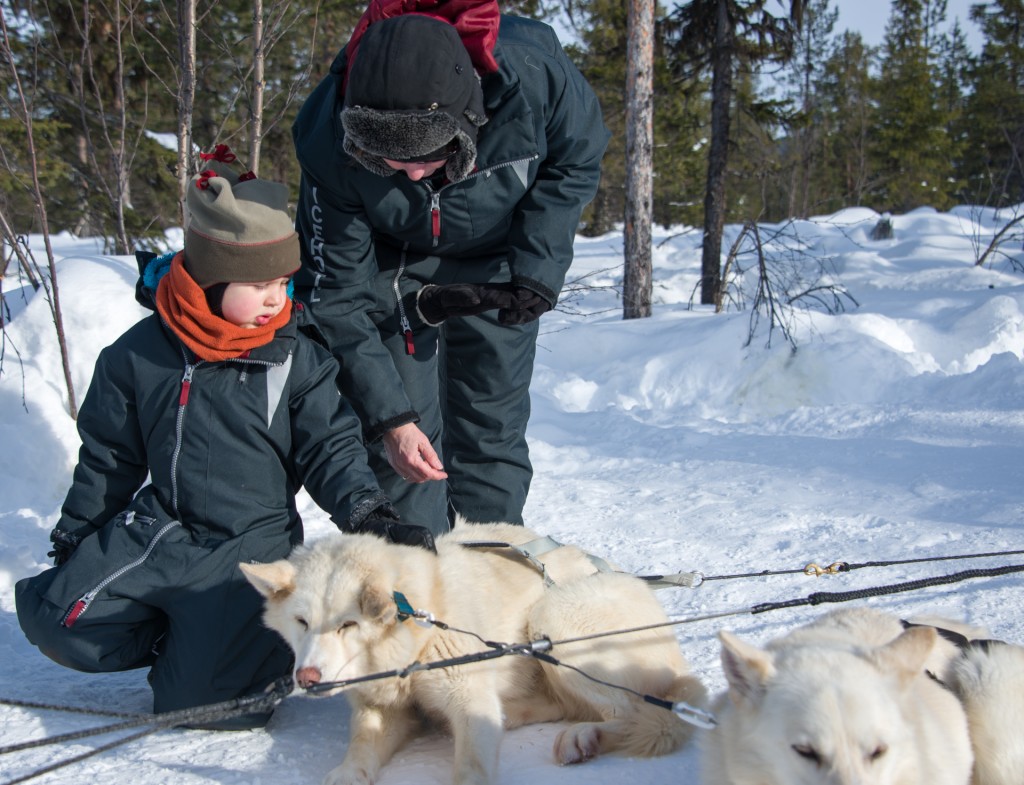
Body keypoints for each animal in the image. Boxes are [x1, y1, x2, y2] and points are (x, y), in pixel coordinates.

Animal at [239, 521, 704, 785]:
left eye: (347, 624)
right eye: (301, 622)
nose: (307, 679)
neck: (420, 623)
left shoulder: (467, 702)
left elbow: (471, 767)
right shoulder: (383, 707)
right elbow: (361, 743)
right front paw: (349, 773)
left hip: (555, 618)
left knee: (633, 713)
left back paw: (585, 736)